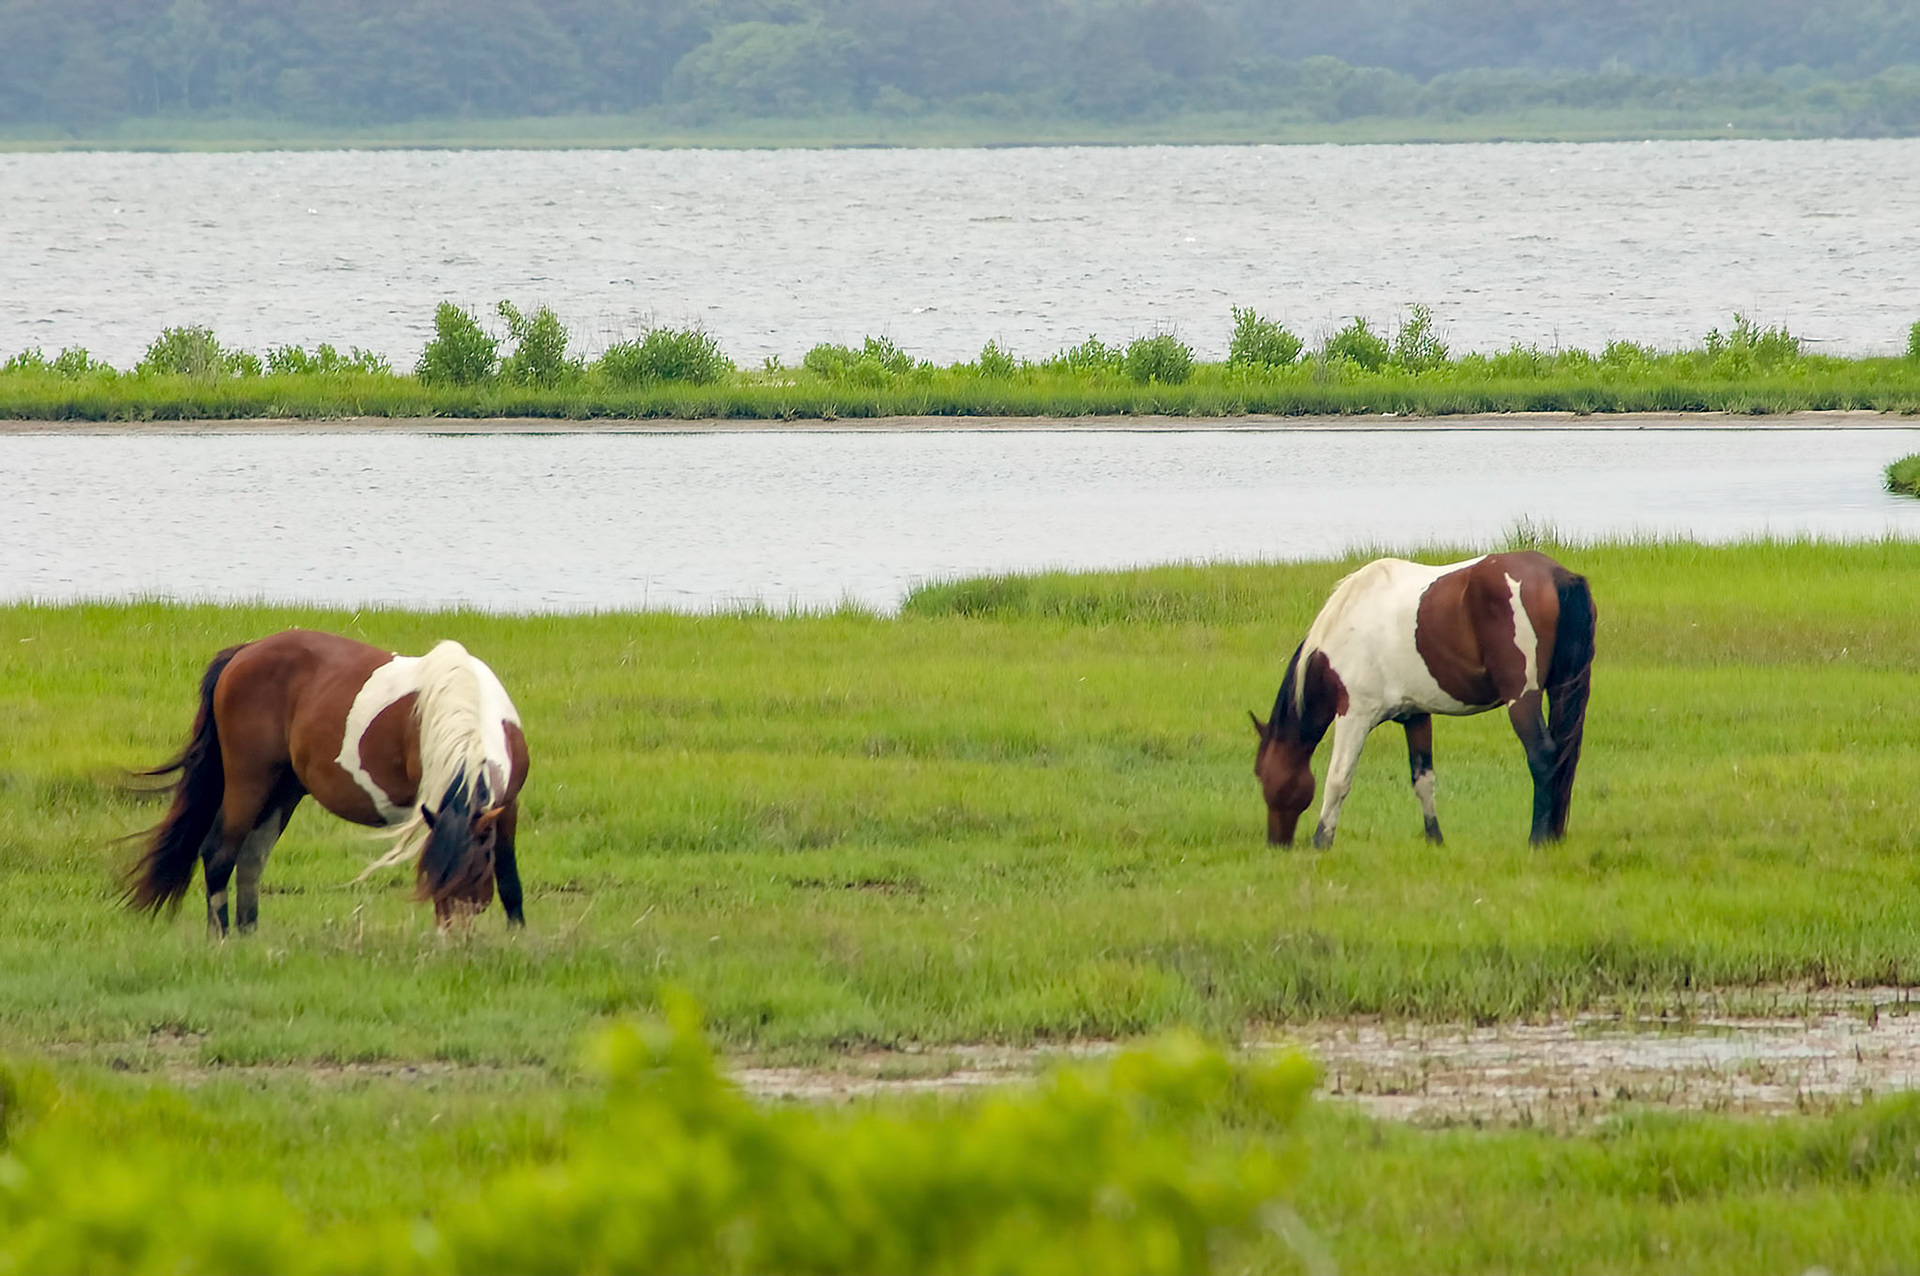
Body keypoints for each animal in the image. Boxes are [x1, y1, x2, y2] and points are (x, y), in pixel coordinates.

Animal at [125, 629, 530, 935]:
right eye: (433, 876)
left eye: (476, 871)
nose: (454, 938)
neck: (465, 703)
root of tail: (244, 652)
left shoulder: (507, 806)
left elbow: (510, 879)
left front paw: (517, 937)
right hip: (250, 781)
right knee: (219, 852)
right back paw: (222, 936)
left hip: (283, 790)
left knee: (252, 856)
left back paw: (248, 933)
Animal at [1250, 552, 1595, 848]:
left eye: (1263, 775)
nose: (1276, 844)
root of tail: (1557, 574)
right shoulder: (1415, 715)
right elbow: (1423, 781)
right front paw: (1435, 840)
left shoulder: (1354, 714)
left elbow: (1339, 778)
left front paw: (1321, 841)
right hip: (1561, 689)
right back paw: (1553, 836)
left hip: (1522, 698)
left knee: (1542, 756)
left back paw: (1537, 839)